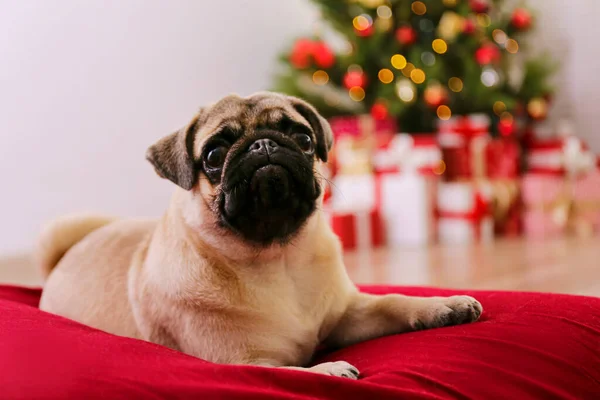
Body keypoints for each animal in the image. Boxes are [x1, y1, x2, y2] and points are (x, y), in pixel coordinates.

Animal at [38, 91, 482, 378]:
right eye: (214, 155)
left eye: (303, 138)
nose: (263, 144)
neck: (275, 259)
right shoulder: (244, 363)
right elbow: (296, 371)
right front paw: (331, 367)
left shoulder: (347, 314)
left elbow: (392, 301)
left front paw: (444, 306)